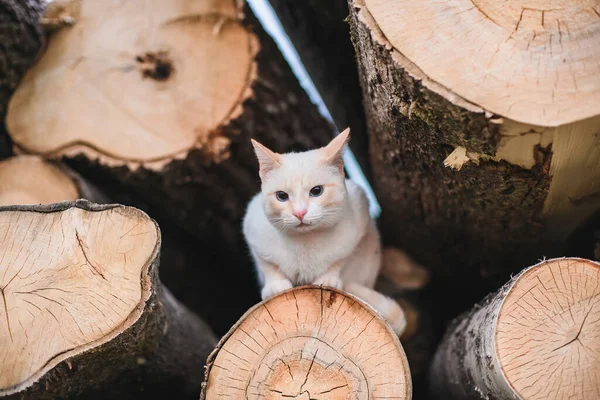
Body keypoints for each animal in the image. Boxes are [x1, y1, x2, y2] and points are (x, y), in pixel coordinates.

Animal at [244, 128, 408, 334]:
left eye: (316, 191)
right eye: (281, 196)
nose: (299, 212)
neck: (305, 242)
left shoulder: (358, 217)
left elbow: (339, 260)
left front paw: (329, 278)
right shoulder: (252, 229)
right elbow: (267, 264)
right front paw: (275, 285)